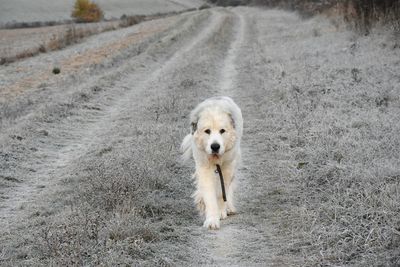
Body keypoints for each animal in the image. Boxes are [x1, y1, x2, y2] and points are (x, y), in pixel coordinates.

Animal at [181, 97, 244, 230]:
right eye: (207, 131)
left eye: (222, 131)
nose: (215, 146)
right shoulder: (204, 167)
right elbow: (209, 195)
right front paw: (211, 220)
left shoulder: (227, 167)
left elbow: (222, 192)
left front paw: (221, 212)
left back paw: (228, 208)